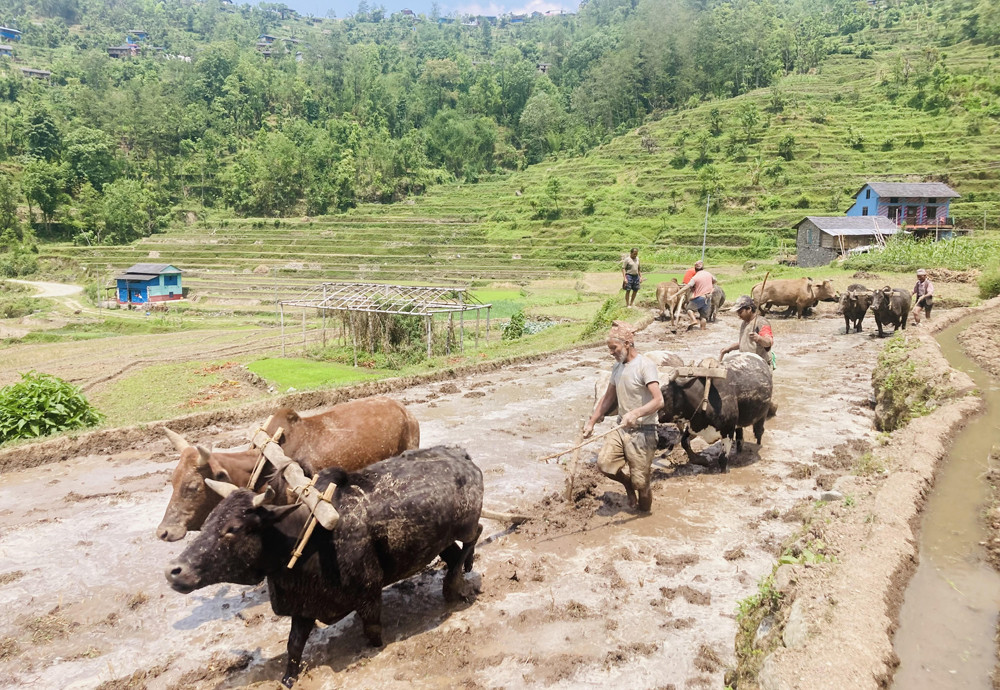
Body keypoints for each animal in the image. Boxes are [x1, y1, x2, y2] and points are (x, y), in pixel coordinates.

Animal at [165, 444, 484, 684]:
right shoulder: (304, 608)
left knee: (475, 535)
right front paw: (288, 679)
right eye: (209, 521)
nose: (173, 571)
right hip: (442, 539)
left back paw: (455, 583)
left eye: (232, 528)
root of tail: (462, 454)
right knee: (454, 553)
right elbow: (293, 646)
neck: (307, 537)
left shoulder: (369, 595)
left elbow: (373, 634)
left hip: (466, 525)